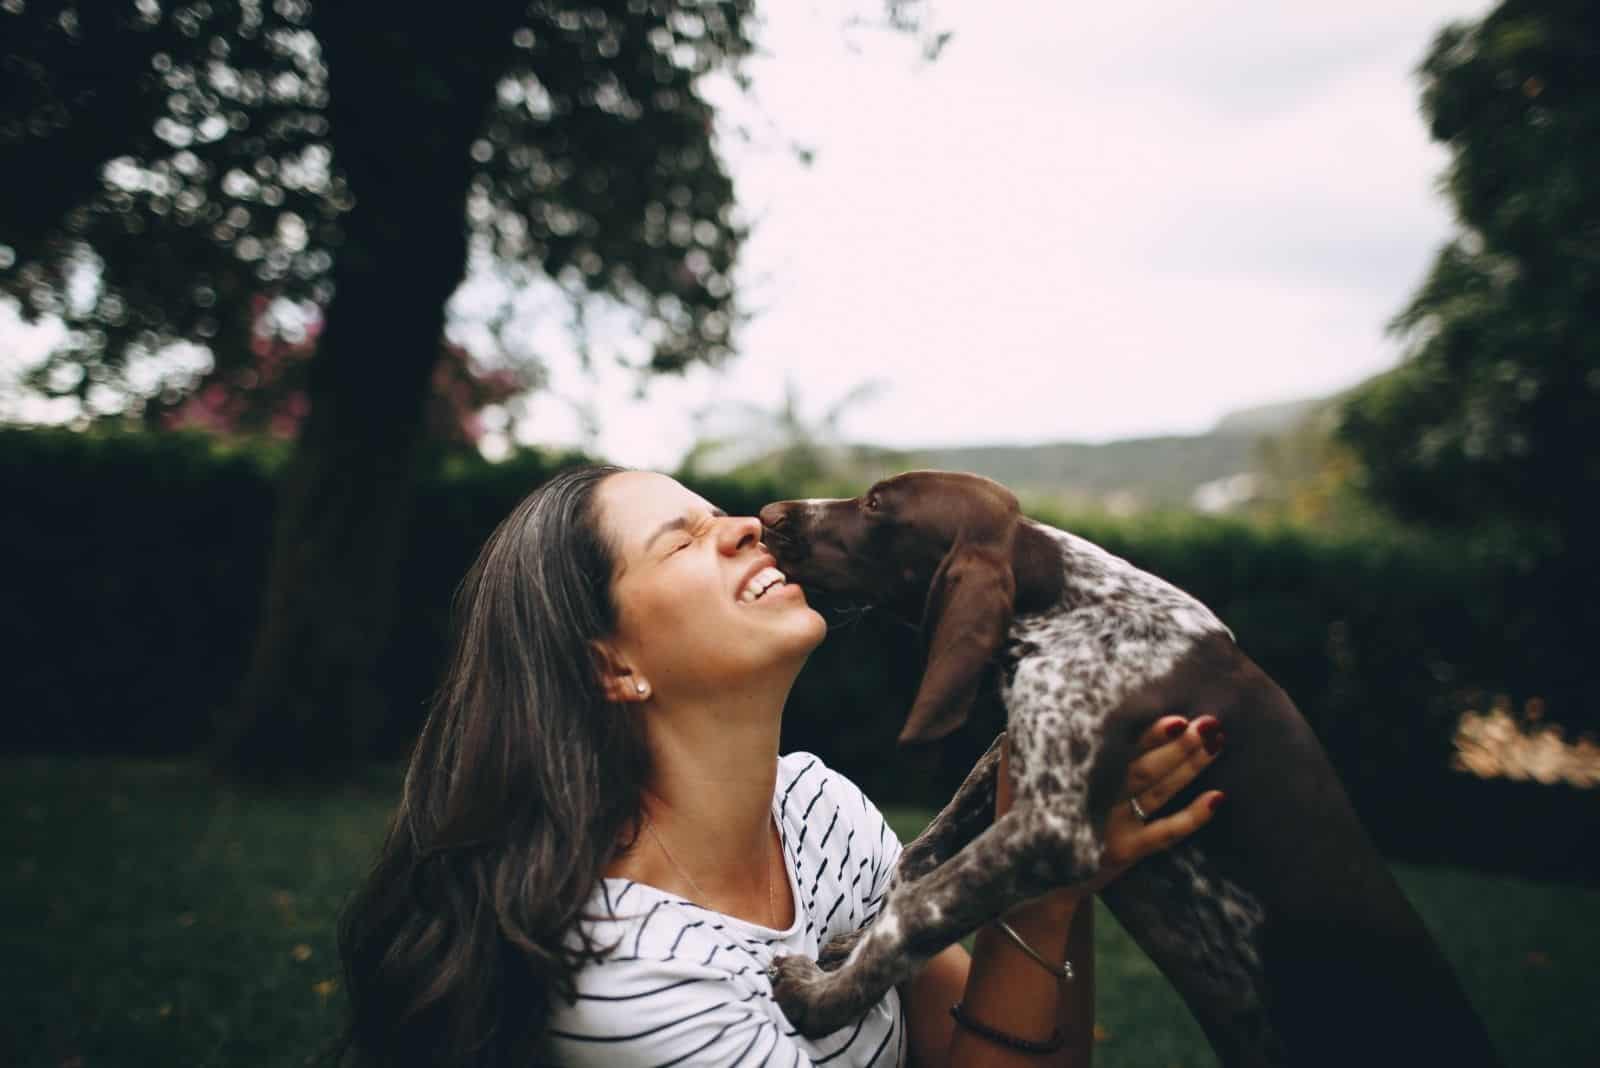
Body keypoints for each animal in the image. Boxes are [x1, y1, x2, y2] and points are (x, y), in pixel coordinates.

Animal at [755, 470, 1491, 1068]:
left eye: (877, 504)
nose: (767, 513)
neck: (1064, 604)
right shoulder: (1020, 746)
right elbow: (923, 858)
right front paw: (856, 941)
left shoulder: (1051, 829)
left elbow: (922, 909)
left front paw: (821, 996)